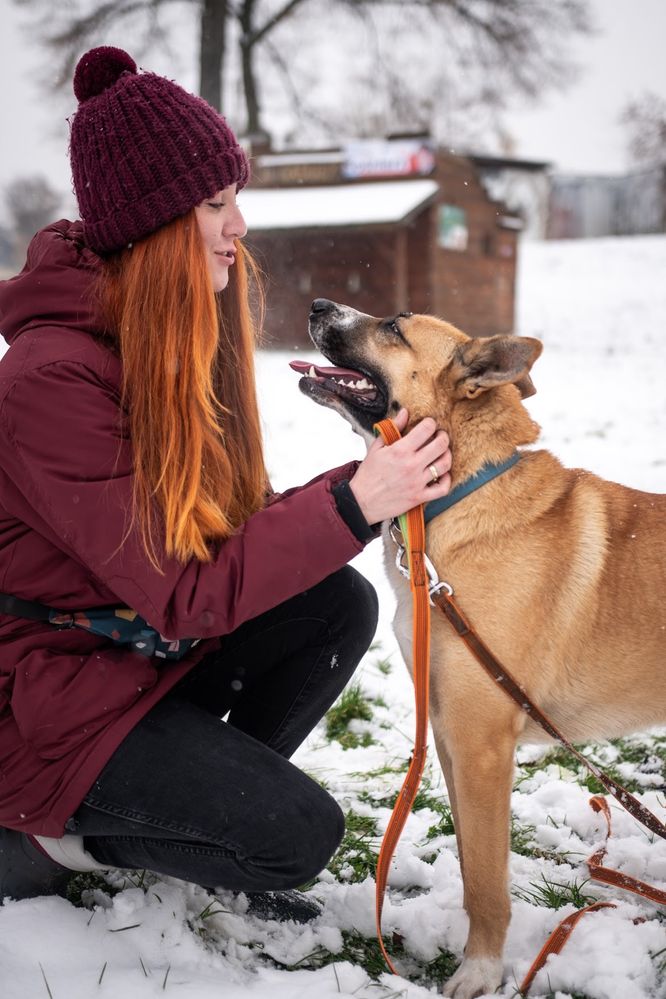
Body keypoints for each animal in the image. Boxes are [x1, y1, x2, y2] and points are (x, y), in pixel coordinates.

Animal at [290, 296, 664, 999]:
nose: (320, 305)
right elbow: (471, 865)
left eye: (395, 327)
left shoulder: (482, 743)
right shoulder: (448, 733)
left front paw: (481, 972)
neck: (457, 497)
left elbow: (489, 879)